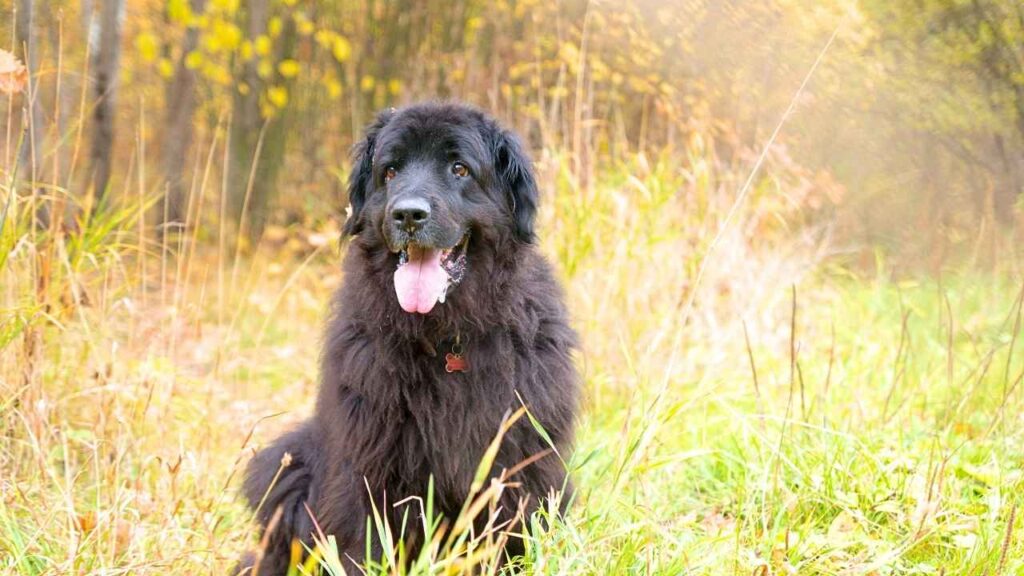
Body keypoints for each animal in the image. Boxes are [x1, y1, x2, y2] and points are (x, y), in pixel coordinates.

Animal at [235, 100, 581, 569]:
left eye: (459, 168)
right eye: (391, 171)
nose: (408, 214)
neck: (447, 336)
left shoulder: (519, 460)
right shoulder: (372, 460)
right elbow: (367, 539)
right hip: (288, 465)